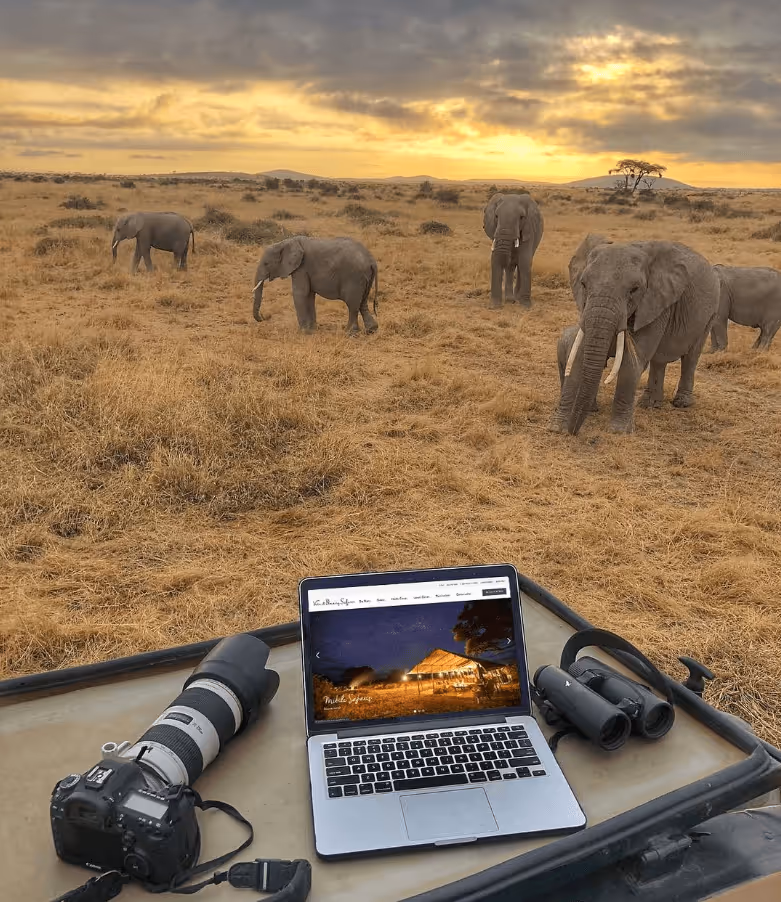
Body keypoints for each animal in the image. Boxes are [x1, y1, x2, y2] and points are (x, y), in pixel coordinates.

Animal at [551, 235, 720, 435]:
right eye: (583, 284)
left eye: (634, 289)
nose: (573, 431)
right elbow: (579, 356)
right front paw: (559, 427)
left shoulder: (656, 302)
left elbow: (632, 362)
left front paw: (619, 431)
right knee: (658, 361)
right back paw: (649, 405)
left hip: (710, 313)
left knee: (691, 358)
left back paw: (681, 403)